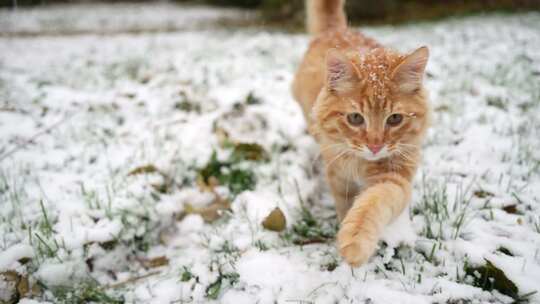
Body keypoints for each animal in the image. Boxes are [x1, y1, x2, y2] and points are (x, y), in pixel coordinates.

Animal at [292, 0, 430, 266]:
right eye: (355, 118)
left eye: (395, 119)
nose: (375, 145)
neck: (361, 164)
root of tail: (338, 30)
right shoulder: (338, 175)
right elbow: (345, 205)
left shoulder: (394, 176)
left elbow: (373, 202)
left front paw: (355, 241)